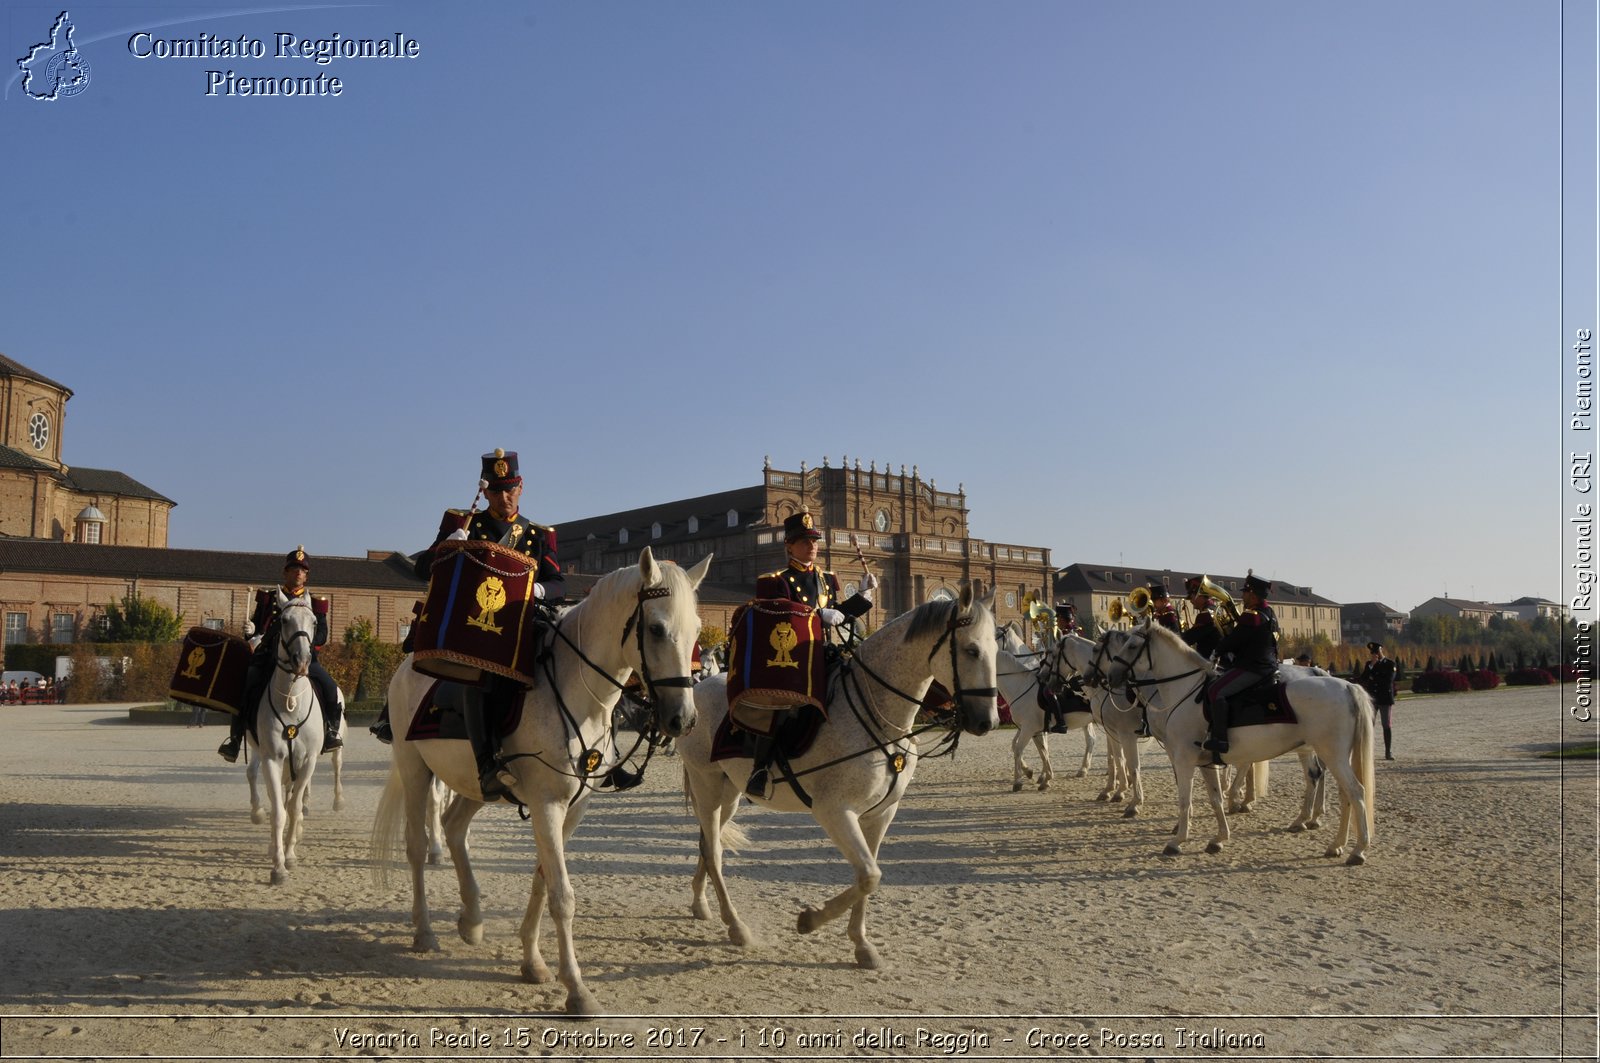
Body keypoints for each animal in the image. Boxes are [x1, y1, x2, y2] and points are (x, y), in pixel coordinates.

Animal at [246, 592, 321, 883]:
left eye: (314, 621)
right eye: (284, 620)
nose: (302, 661)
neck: (291, 700)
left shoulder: (308, 761)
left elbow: (294, 808)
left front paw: (289, 855)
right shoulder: (272, 759)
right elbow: (278, 811)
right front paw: (278, 866)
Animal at [371, 547, 710, 1011]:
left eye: (697, 630)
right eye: (656, 628)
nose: (683, 719)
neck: (578, 693)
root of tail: (408, 664)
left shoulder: (572, 806)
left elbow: (543, 880)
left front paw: (532, 962)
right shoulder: (546, 803)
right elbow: (562, 895)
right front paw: (578, 990)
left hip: (476, 782)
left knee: (454, 827)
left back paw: (472, 919)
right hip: (415, 769)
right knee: (418, 846)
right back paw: (424, 932)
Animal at [678, 589, 998, 973]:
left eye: (997, 650)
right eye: (971, 650)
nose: (988, 722)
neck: (880, 719)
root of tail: (697, 690)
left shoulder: (880, 815)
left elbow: (868, 876)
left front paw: (861, 944)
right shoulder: (834, 811)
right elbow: (870, 875)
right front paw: (809, 920)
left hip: (730, 793)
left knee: (708, 844)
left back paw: (700, 904)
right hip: (707, 784)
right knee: (713, 850)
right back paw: (736, 925)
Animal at [992, 624, 1094, 787]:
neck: (1021, 683)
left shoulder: (1030, 727)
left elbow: (1025, 748)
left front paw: (1028, 777)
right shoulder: (1031, 729)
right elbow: (1037, 749)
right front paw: (1037, 775)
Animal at [1100, 624, 1376, 864]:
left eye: (1132, 645)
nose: (1111, 677)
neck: (1184, 691)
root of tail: (1347, 685)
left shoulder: (1184, 759)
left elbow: (1185, 799)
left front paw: (1178, 840)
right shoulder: (1205, 763)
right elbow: (1215, 799)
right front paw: (1219, 838)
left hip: (1332, 755)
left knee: (1355, 792)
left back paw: (1358, 850)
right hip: (1330, 754)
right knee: (1341, 792)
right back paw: (1334, 843)